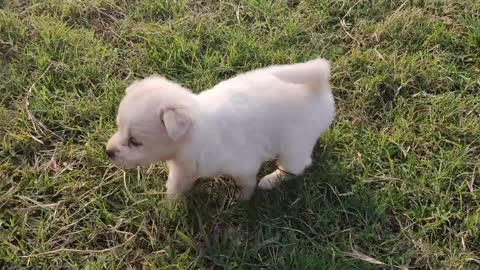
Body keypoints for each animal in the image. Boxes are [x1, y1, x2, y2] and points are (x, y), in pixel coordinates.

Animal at [107, 58, 336, 200]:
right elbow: (175, 187)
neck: (195, 132)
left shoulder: (243, 167)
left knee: (294, 167)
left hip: (294, 146)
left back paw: (270, 181)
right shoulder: (183, 169)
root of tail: (318, 86)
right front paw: (168, 210)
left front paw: (242, 200)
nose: (107, 152)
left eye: (135, 142)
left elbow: (246, 184)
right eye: (118, 127)